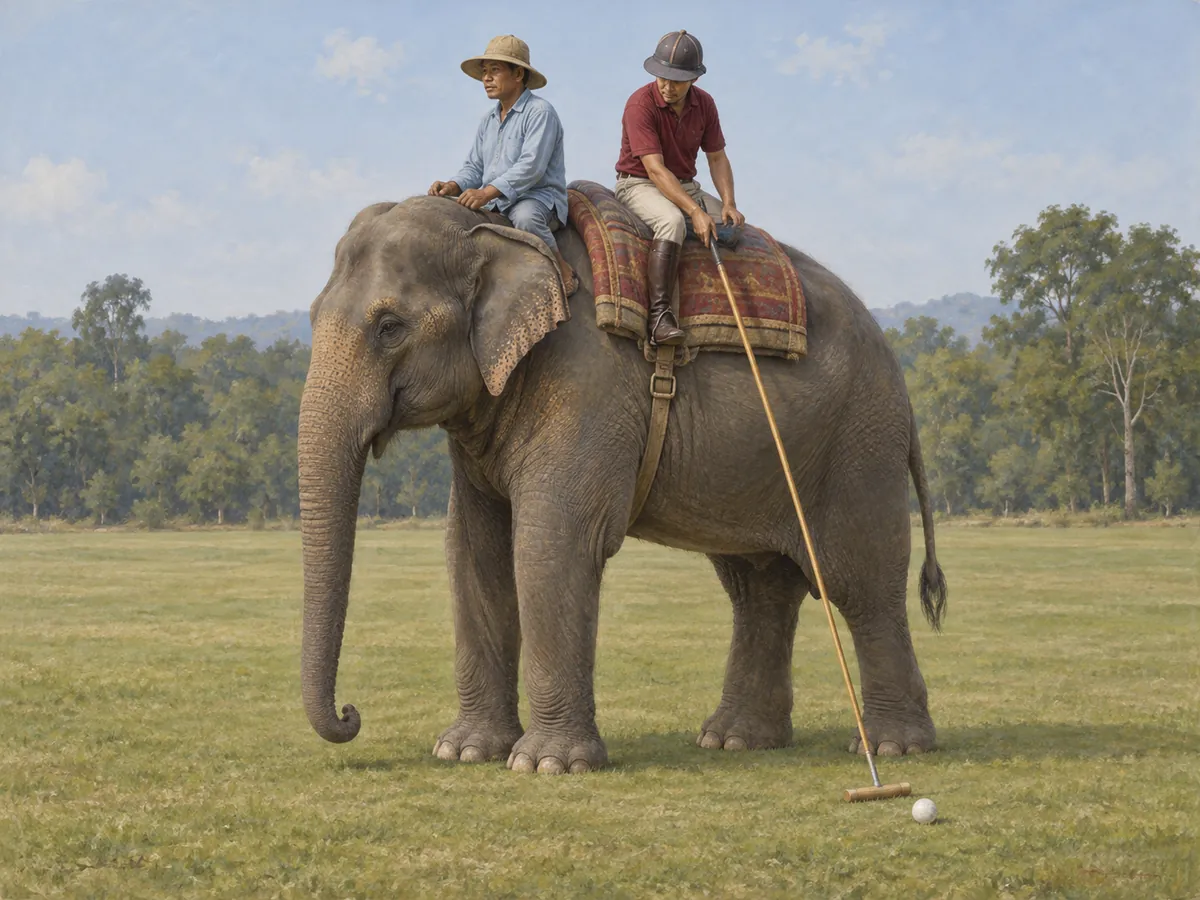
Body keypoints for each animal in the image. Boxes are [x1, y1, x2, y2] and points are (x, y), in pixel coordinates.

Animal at [299, 195, 947, 775]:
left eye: (389, 327)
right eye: (310, 317)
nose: (351, 713)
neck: (496, 230)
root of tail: (896, 363)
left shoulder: (589, 379)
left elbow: (551, 543)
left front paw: (546, 765)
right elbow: (473, 551)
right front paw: (464, 753)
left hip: (860, 443)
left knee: (860, 580)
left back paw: (891, 749)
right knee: (758, 586)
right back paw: (736, 741)